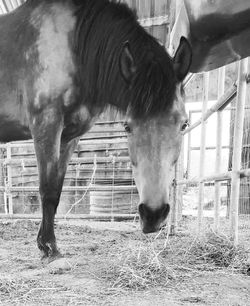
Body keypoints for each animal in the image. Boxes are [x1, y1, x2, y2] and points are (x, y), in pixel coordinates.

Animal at [0, 0, 192, 260]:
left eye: (184, 124)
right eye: (127, 126)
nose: (153, 215)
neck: (73, 46)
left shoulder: (69, 136)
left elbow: (56, 191)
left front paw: (49, 243)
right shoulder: (46, 124)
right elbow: (47, 189)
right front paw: (47, 246)